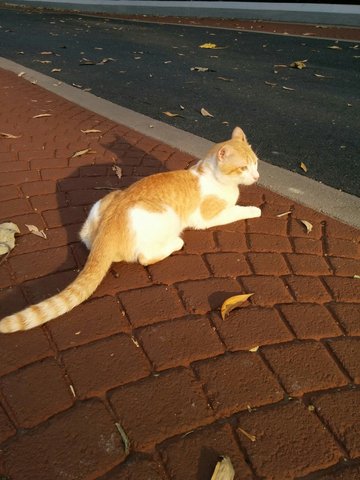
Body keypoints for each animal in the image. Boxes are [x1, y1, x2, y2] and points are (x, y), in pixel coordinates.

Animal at [0, 125, 260, 332]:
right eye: (243, 168)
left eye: (256, 163)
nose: (257, 177)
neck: (212, 175)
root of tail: (108, 228)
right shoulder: (207, 217)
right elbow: (237, 210)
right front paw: (254, 210)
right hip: (166, 215)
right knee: (145, 256)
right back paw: (175, 242)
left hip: (107, 200)